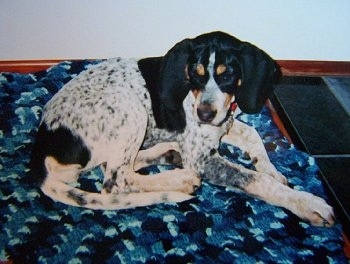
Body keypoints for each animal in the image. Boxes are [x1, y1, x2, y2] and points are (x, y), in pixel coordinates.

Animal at [29, 31, 334, 227]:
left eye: (227, 75)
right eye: (194, 74)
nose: (203, 114)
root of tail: (42, 143)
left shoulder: (222, 125)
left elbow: (254, 135)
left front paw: (273, 170)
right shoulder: (201, 158)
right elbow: (256, 180)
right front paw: (305, 202)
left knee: (119, 167)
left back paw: (169, 153)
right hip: (131, 109)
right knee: (116, 180)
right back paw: (180, 177)